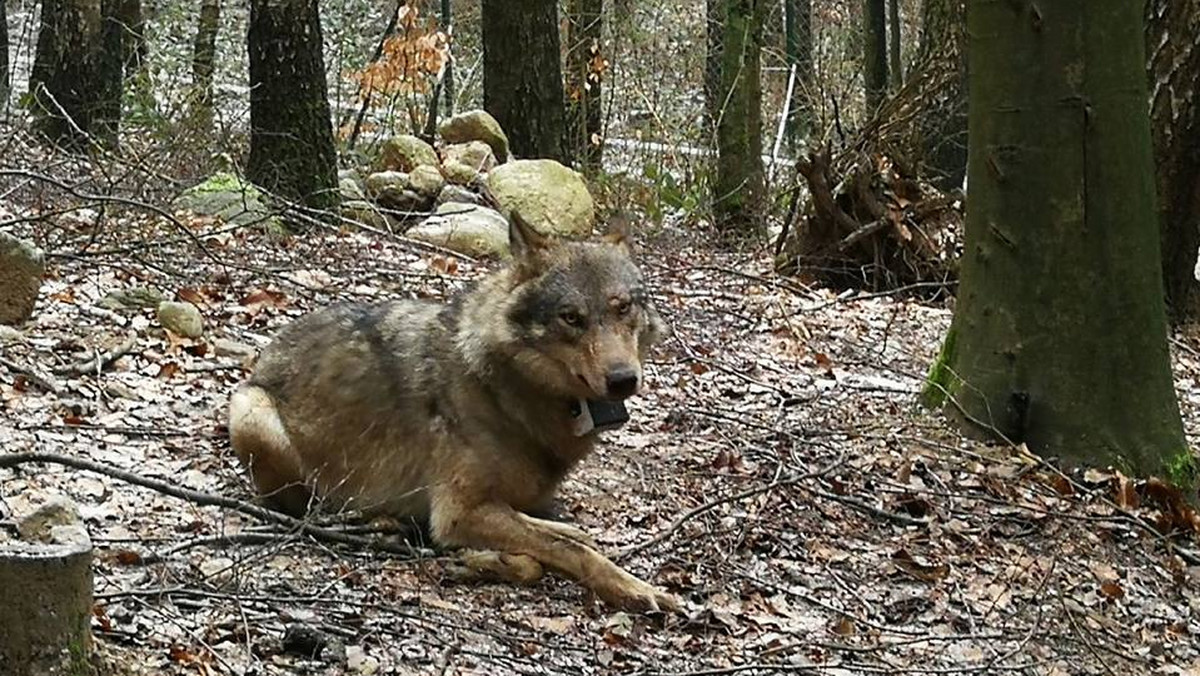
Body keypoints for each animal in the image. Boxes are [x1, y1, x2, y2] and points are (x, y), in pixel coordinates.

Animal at [229, 212, 681, 614]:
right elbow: (566, 551)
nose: (623, 379)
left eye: (622, 308)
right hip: (251, 412)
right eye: (571, 318)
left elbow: (556, 534)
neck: (509, 386)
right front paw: (635, 589)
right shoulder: (458, 513)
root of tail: (270, 348)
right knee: (306, 505)